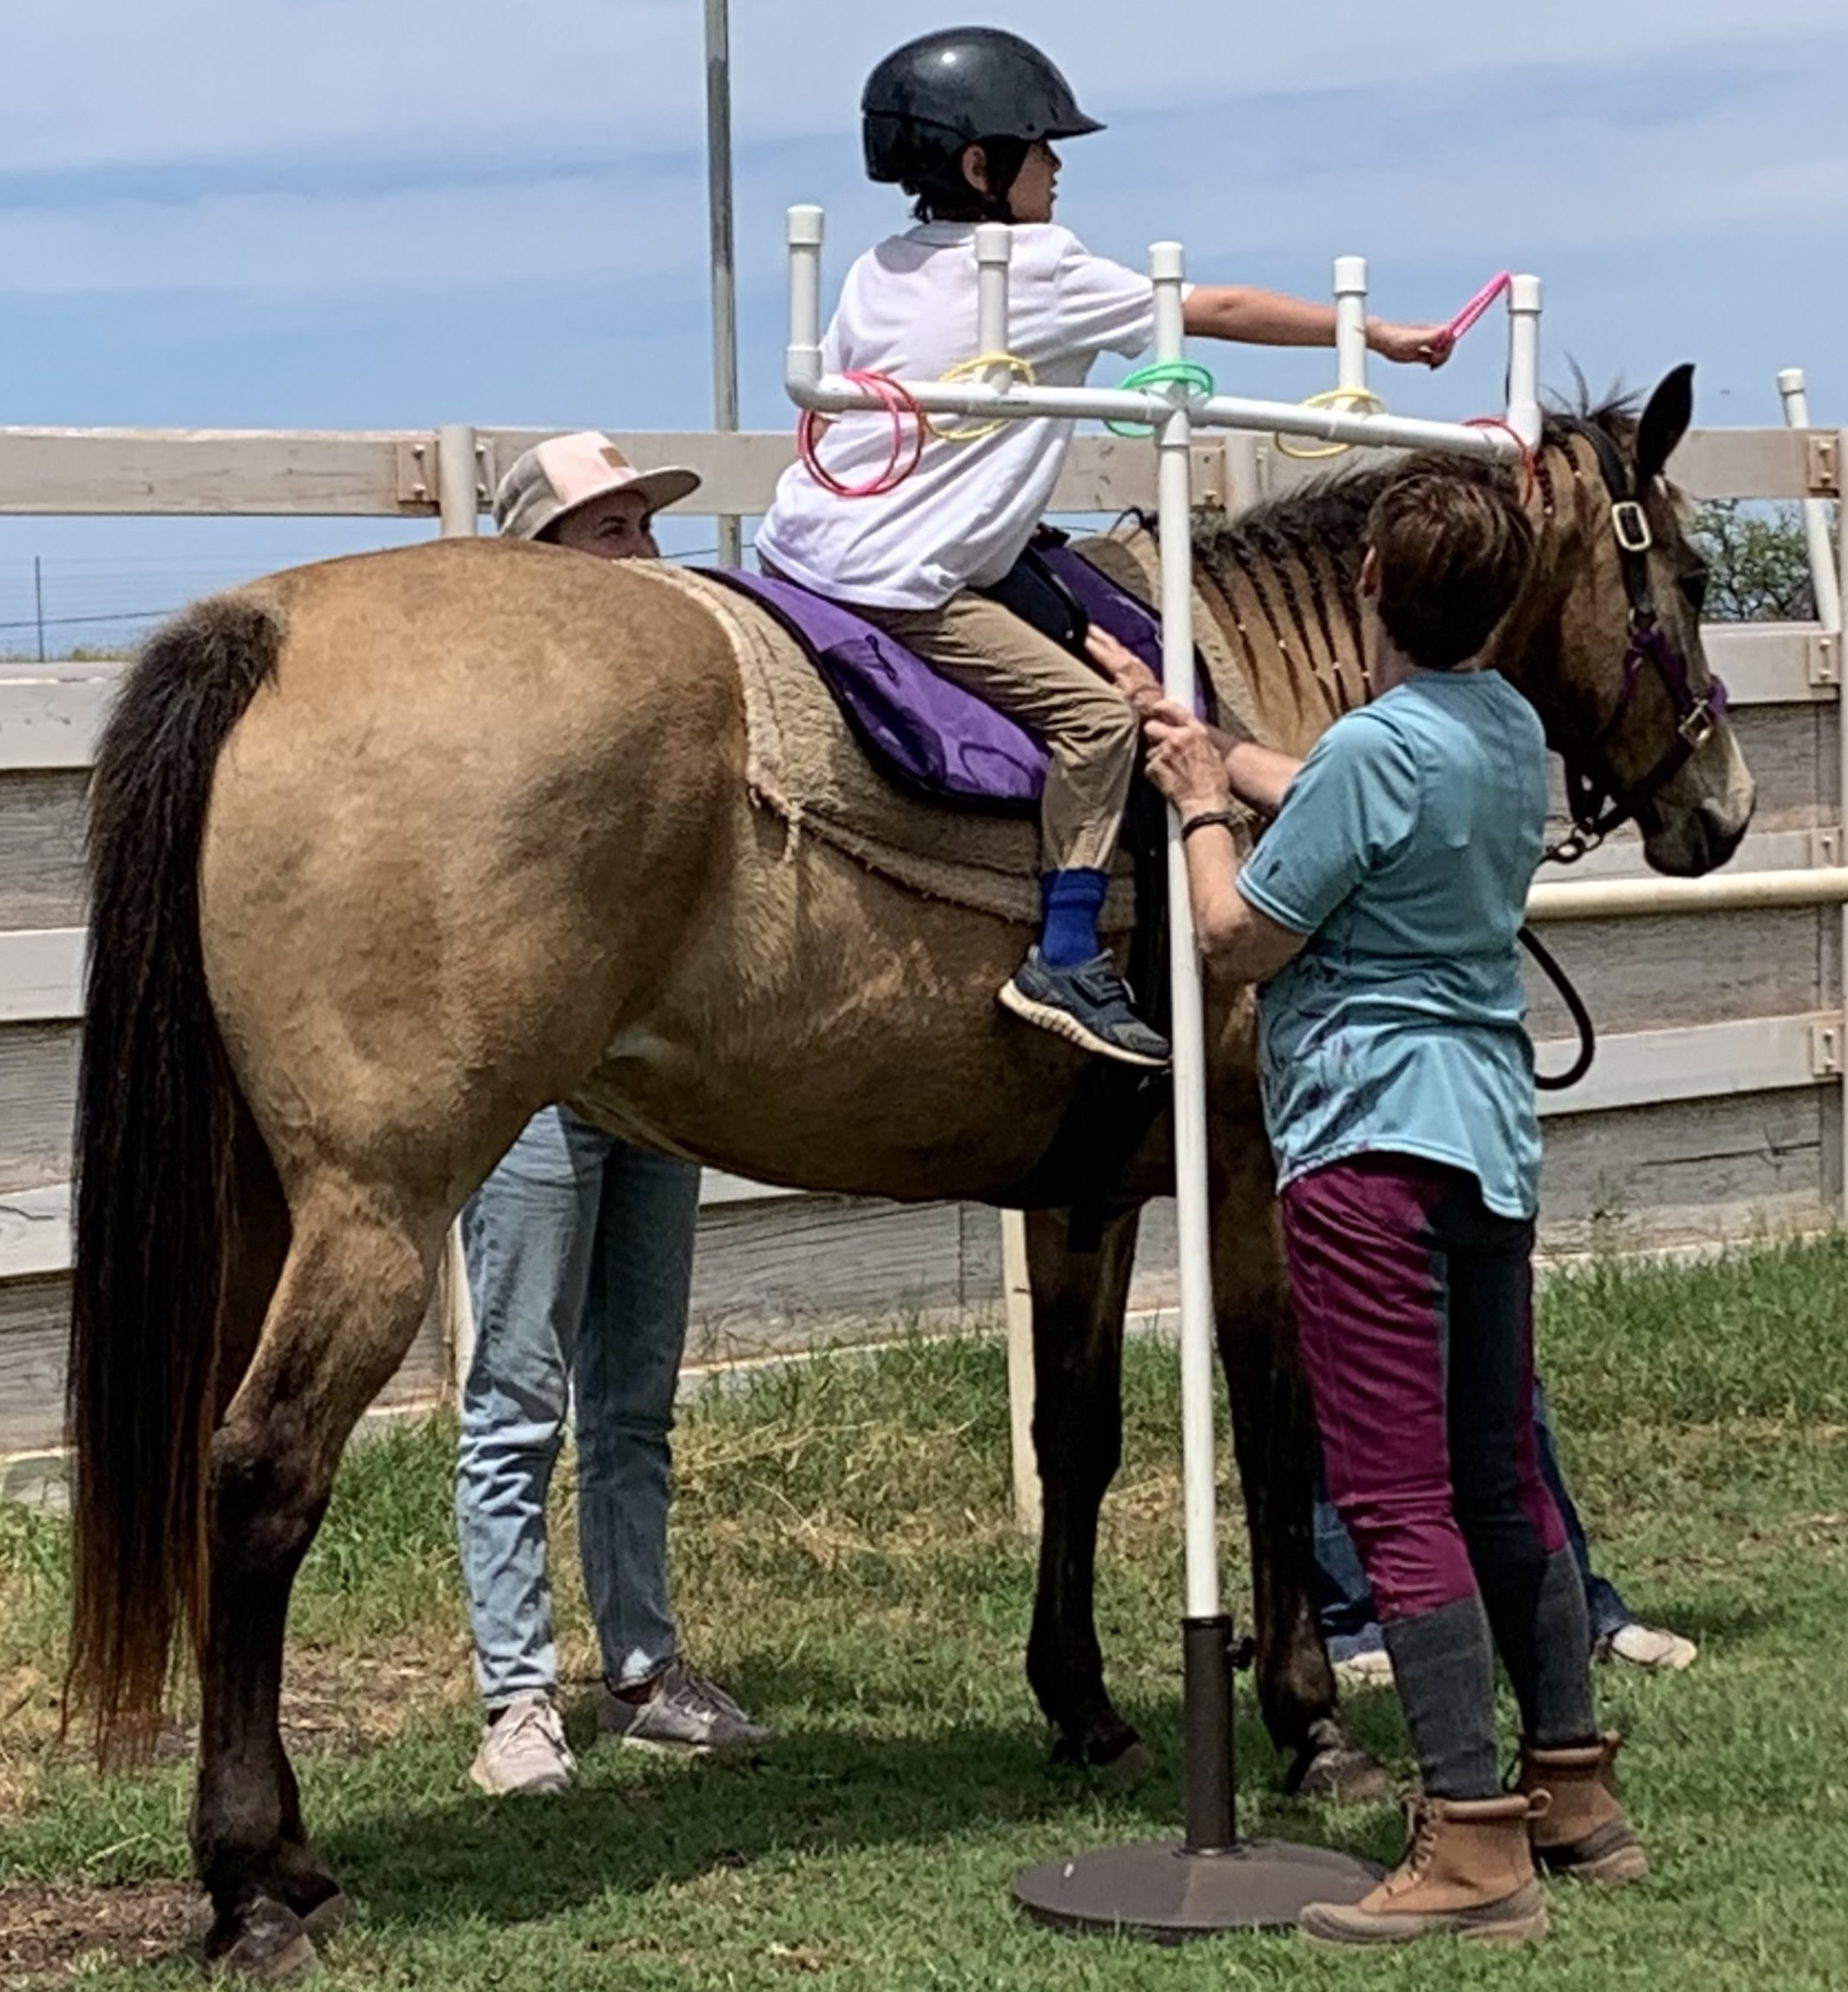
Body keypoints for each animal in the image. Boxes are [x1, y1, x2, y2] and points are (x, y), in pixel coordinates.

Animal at [65, 365, 1751, 1975]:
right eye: (1677, 577)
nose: (1720, 804)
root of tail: (272, 627)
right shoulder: (1251, 1180)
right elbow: (1280, 1436)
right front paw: (1309, 1722)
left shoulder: (1081, 1200)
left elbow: (1075, 1437)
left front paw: (1081, 1704)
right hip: (379, 1212)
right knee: (261, 1475)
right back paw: (257, 1881)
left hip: (262, 1213)